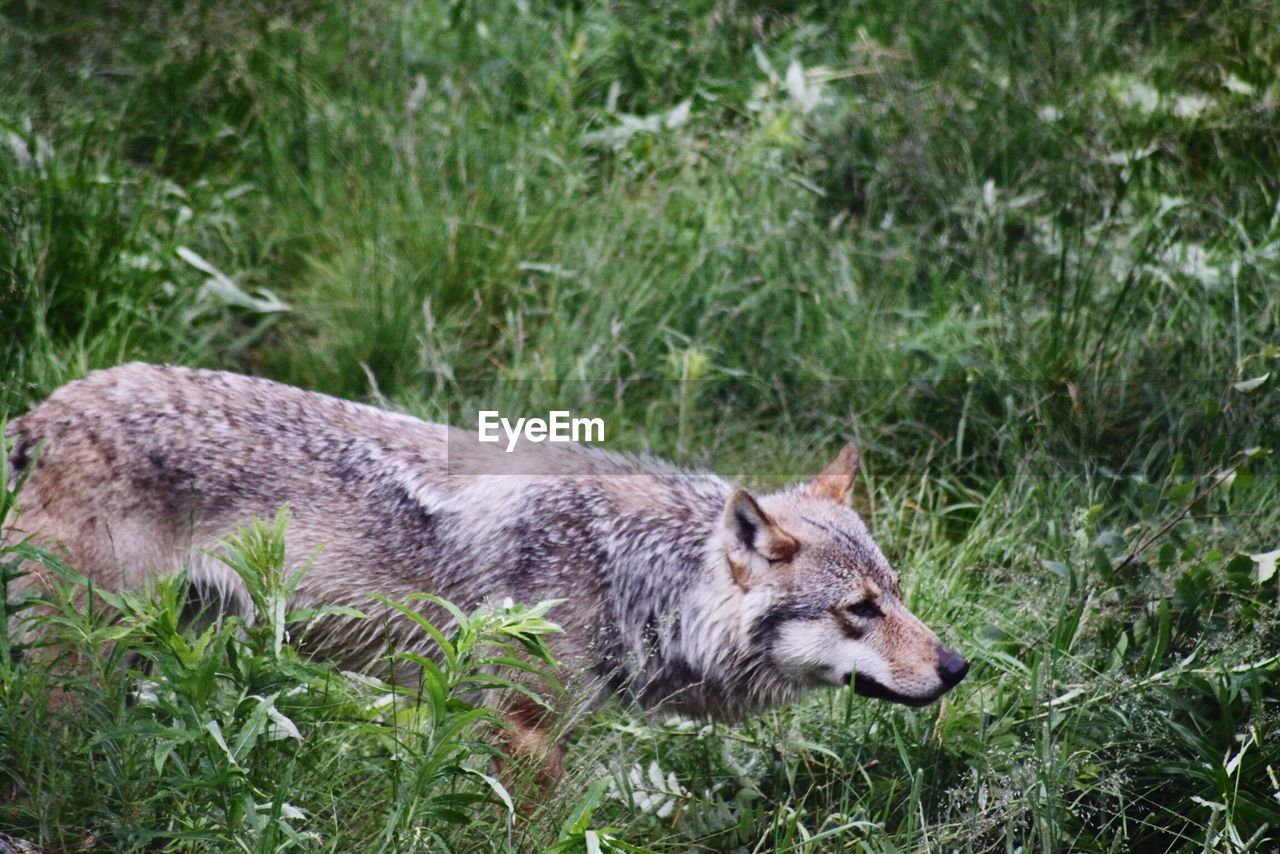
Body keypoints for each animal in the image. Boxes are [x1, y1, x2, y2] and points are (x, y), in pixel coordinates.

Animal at [0, 361, 962, 783]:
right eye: (859, 610)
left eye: (896, 595)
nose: (957, 667)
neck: (630, 569)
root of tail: (46, 408)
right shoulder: (522, 729)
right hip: (79, 665)